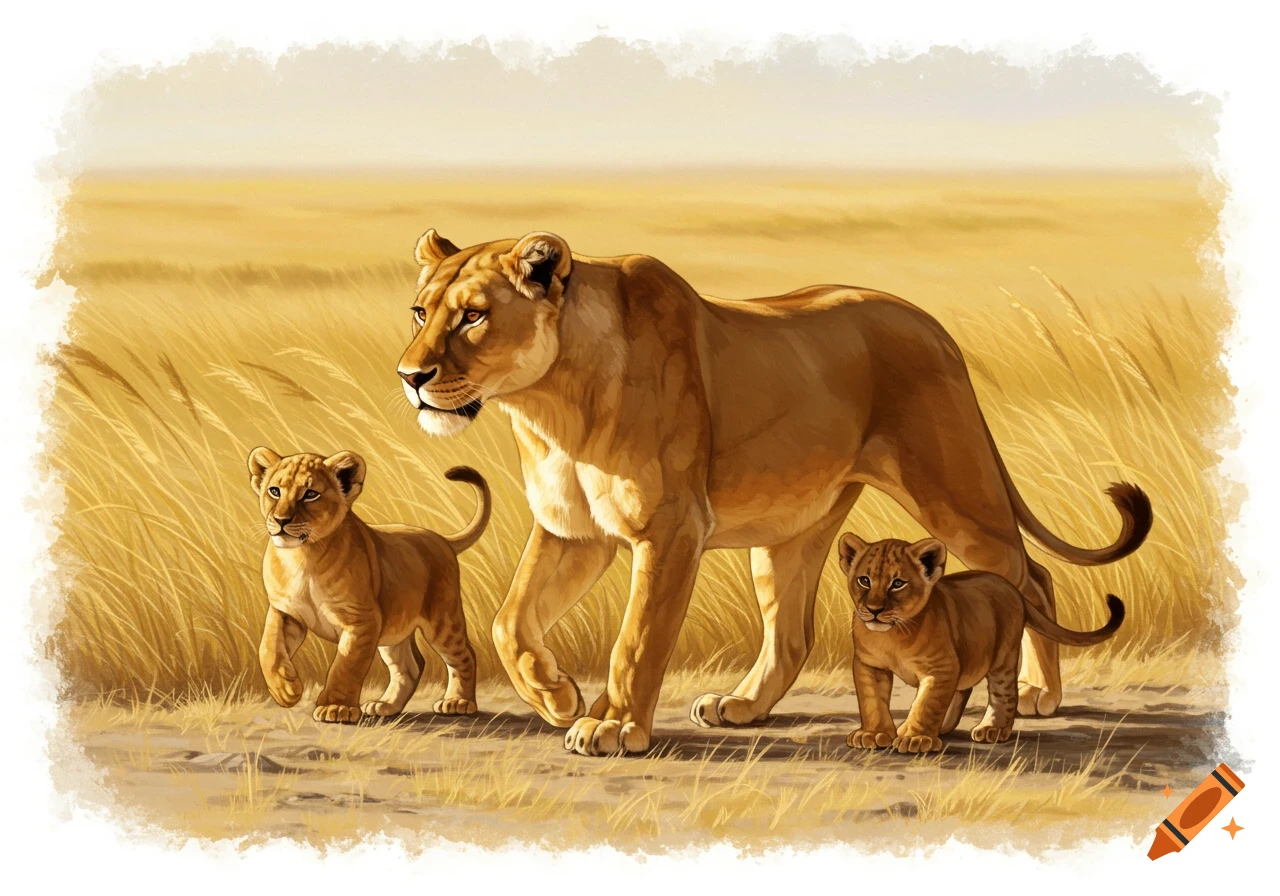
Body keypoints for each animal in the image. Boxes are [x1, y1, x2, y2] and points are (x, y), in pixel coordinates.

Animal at [249, 446, 489, 723]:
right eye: (274, 491)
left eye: (310, 494)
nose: (281, 520)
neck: (303, 556)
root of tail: (441, 539)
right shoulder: (285, 612)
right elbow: (268, 648)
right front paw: (286, 690)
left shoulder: (363, 620)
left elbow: (345, 665)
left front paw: (336, 707)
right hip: (394, 628)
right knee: (411, 666)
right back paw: (385, 705)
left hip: (443, 621)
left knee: (464, 655)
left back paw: (457, 702)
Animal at [838, 534, 1125, 753]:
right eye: (864, 580)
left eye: (897, 583)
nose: (874, 610)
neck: (892, 635)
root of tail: (1010, 587)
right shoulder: (869, 665)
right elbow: (872, 701)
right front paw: (873, 734)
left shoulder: (941, 667)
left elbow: (927, 702)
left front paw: (914, 737)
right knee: (961, 688)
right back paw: (943, 725)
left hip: (1003, 659)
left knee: (1003, 694)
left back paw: (991, 729)